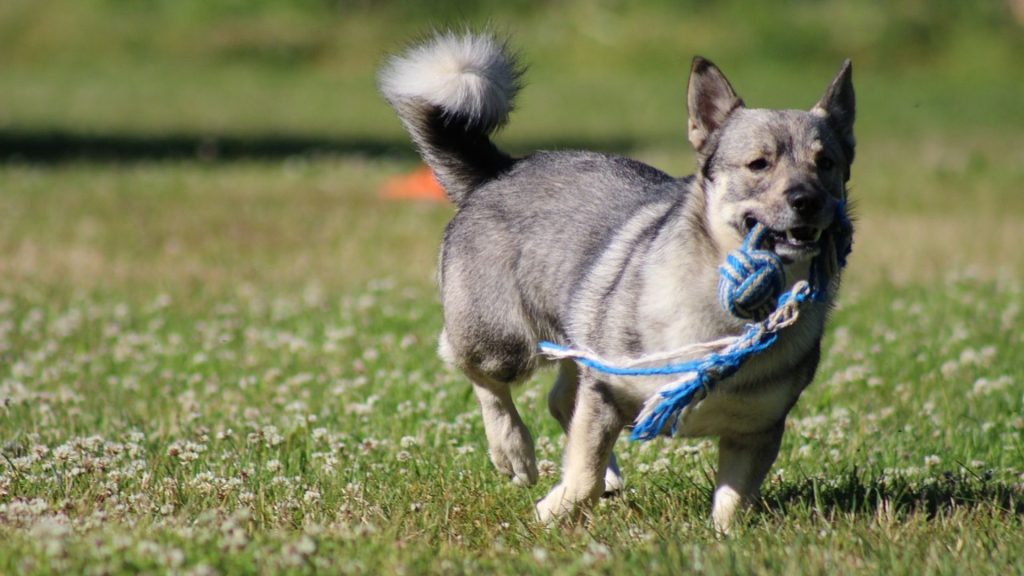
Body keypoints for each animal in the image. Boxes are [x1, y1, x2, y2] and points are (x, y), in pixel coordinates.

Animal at [380, 31, 851, 528]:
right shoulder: (606, 391)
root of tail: (500, 171)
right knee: (474, 369)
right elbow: (582, 472)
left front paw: (724, 536)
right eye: (759, 164)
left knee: (561, 400)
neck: (727, 320)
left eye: (826, 163)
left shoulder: (757, 431)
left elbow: (732, 501)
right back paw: (514, 451)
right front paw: (552, 510)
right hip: (504, 342)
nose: (806, 200)